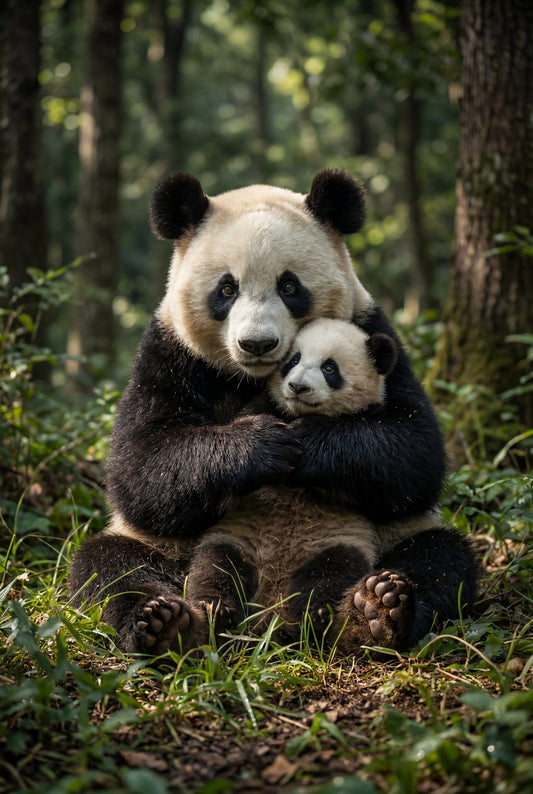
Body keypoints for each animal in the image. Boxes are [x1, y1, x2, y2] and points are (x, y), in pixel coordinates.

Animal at [69, 169, 477, 657]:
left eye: (289, 286)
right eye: (226, 288)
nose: (257, 343)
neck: (250, 378)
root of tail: (268, 610)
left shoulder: (374, 332)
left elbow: (415, 454)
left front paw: (309, 445)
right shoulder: (169, 352)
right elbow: (140, 469)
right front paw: (261, 445)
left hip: (389, 539)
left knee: (442, 559)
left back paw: (373, 613)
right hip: (172, 549)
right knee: (109, 567)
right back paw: (166, 623)